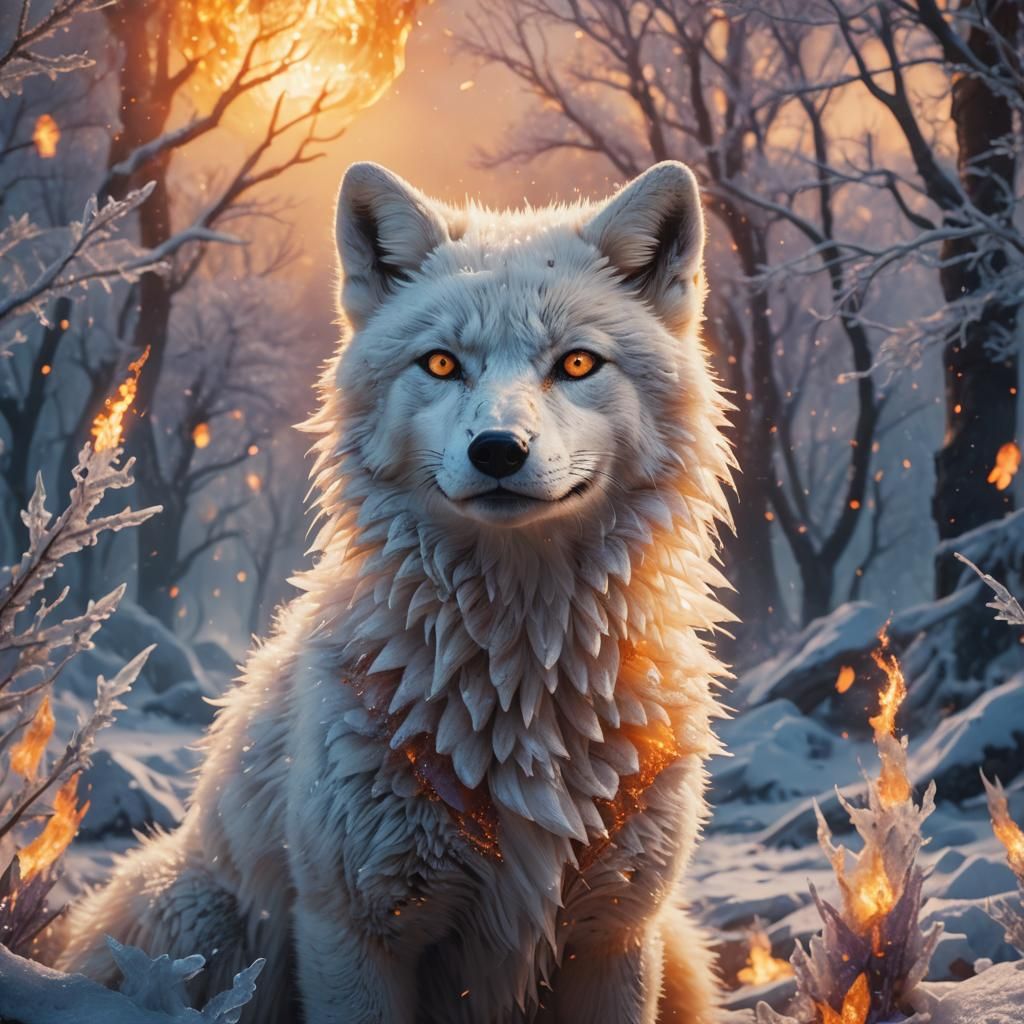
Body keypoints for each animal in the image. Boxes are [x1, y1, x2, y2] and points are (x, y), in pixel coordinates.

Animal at [55, 159, 736, 1023]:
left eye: (577, 364)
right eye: (441, 364)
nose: (497, 449)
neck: (516, 689)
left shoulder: (616, 936)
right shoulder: (353, 933)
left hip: (679, 952)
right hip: (195, 915)